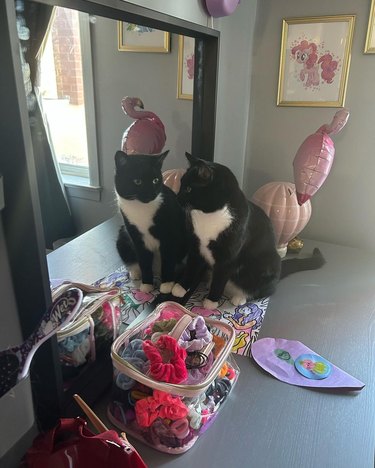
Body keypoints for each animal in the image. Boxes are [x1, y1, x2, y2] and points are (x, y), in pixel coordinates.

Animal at [113, 151, 187, 292]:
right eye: (137, 181)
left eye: (155, 180)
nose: (151, 194)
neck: (141, 209)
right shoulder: (136, 236)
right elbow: (143, 260)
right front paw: (147, 285)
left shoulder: (170, 235)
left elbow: (168, 259)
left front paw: (167, 284)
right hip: (122, 235)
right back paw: (135, 273)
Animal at [172, 152, 324, 308]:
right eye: (181, 185)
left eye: (188, 189)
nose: (176, 198)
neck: (208, 216)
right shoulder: (196, 245)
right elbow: (191, 267)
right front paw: (180, 288)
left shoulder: (228, 258)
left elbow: (219, 279)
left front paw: (211, 301)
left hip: (267, 265)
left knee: (263, 291)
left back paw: (240, 297)